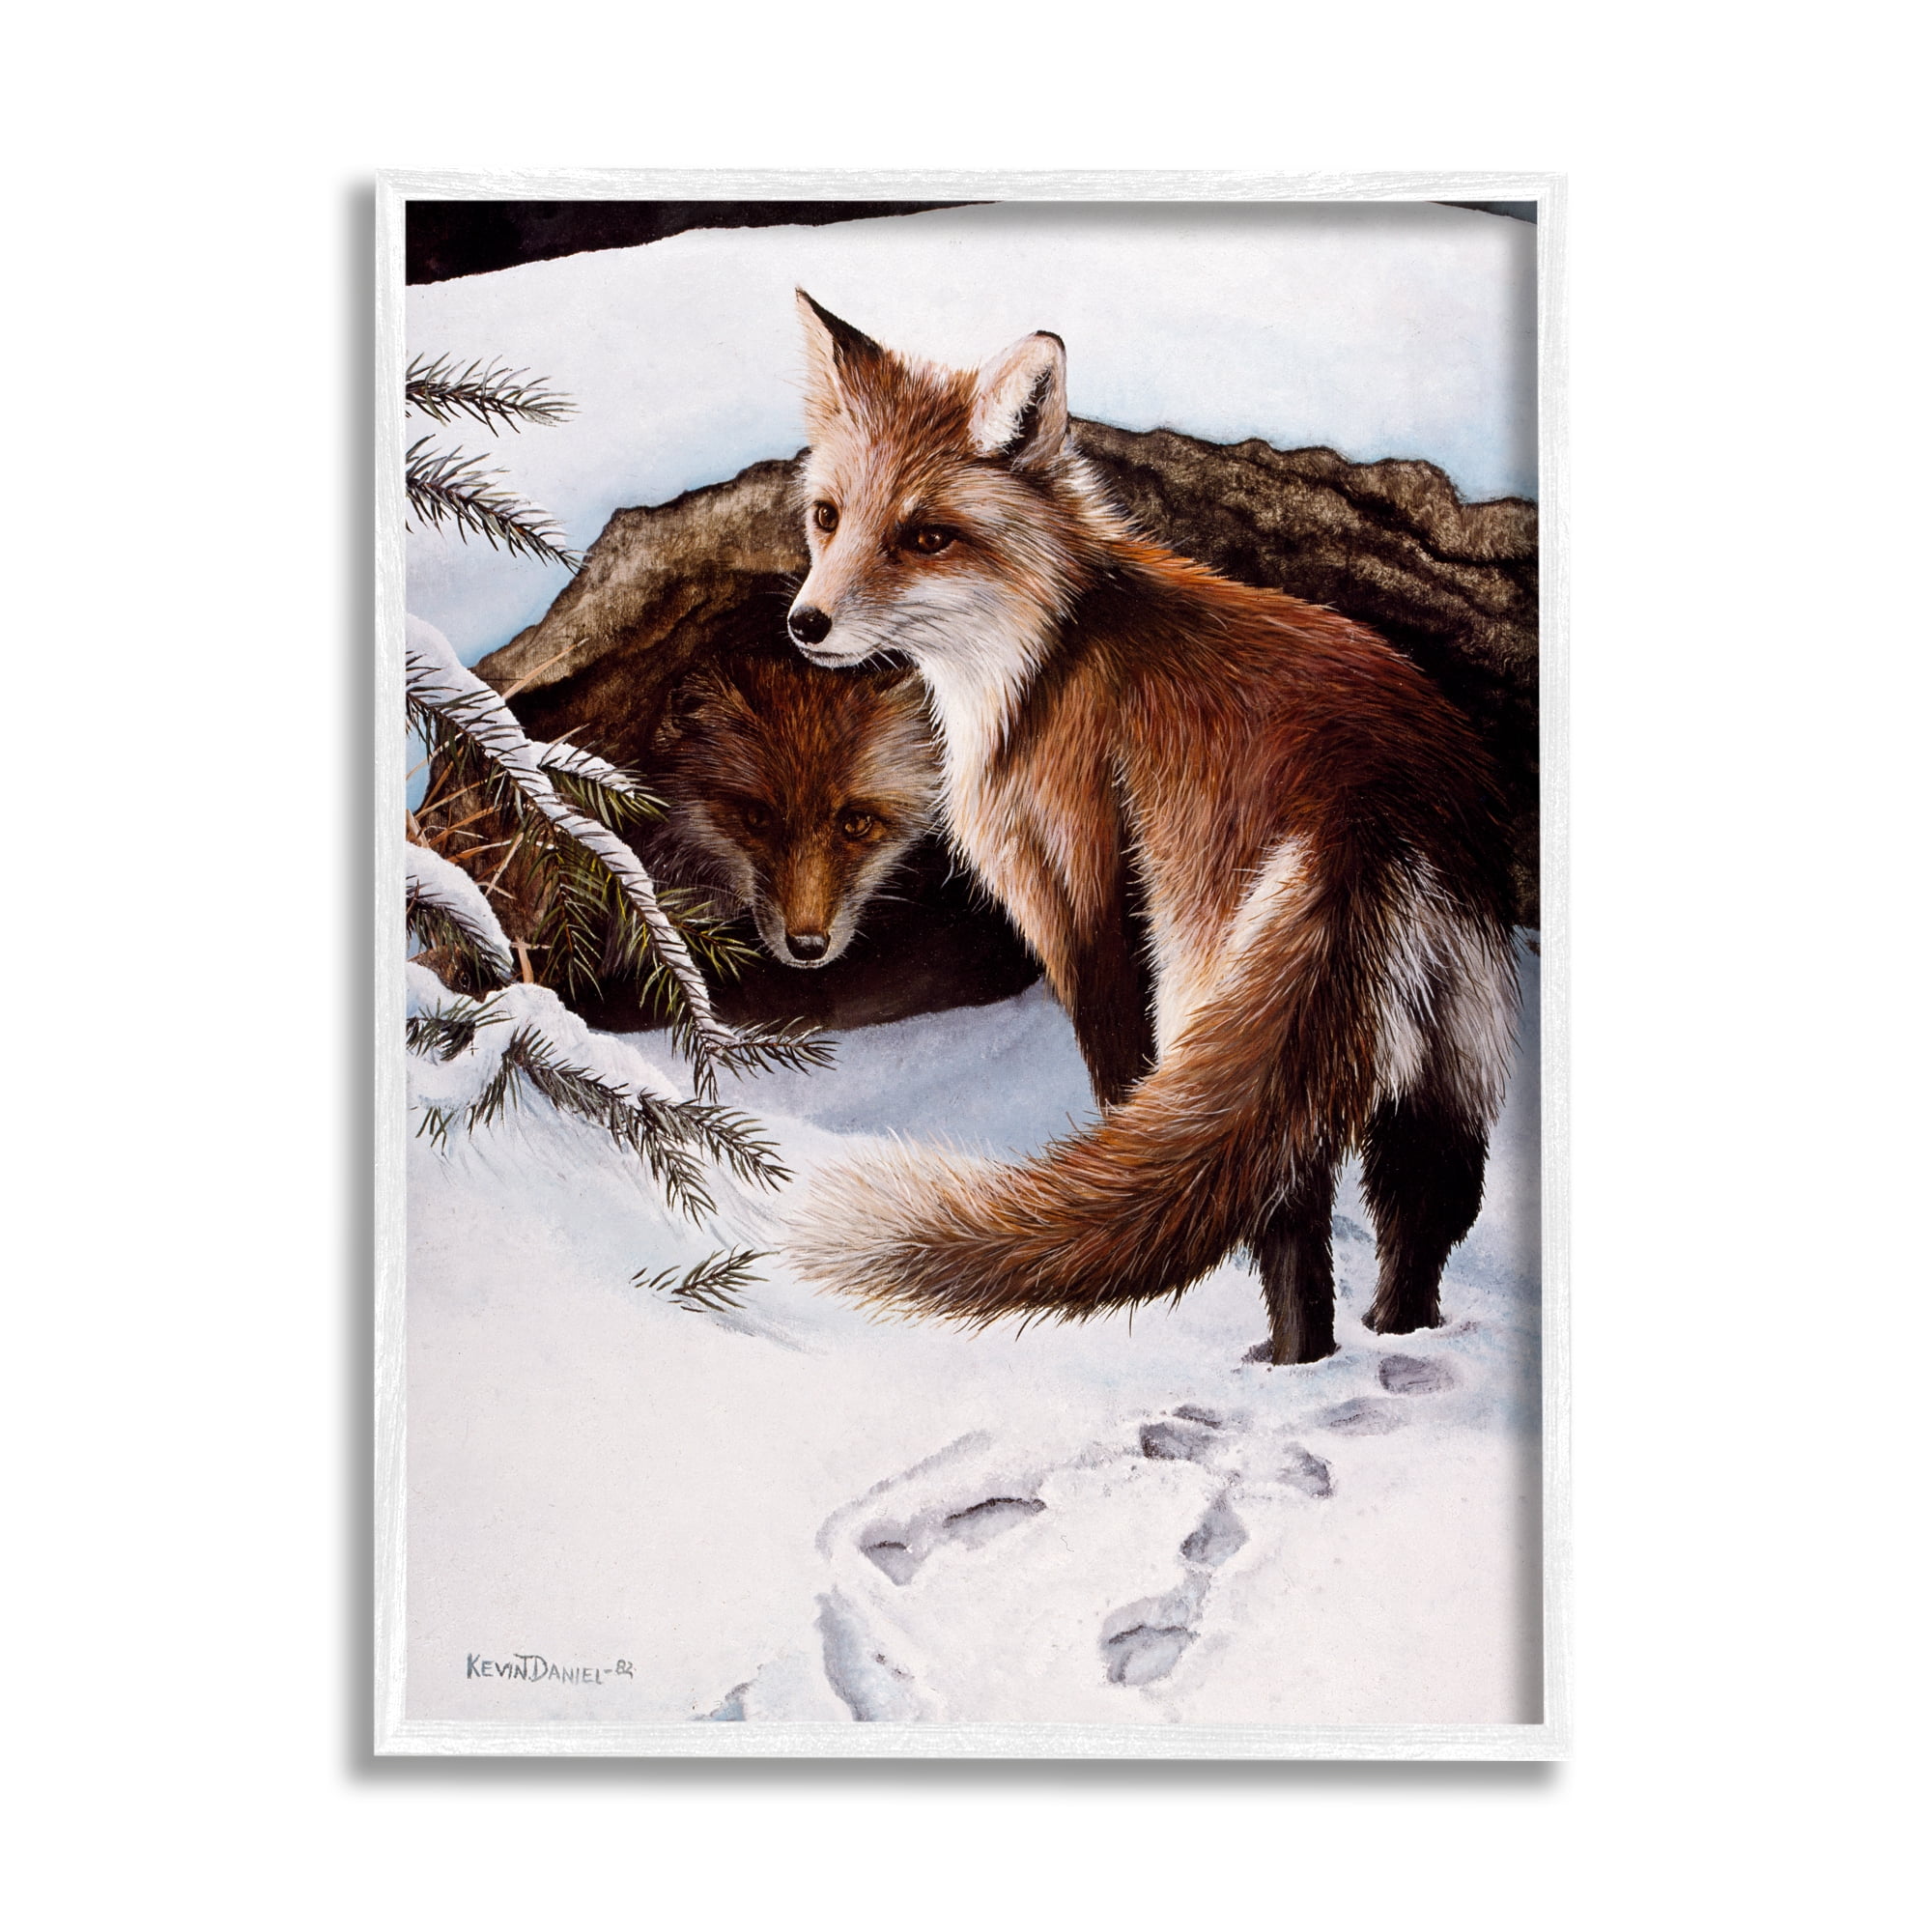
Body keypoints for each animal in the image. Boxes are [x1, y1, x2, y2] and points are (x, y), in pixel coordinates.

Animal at [780, 292, 1520, 1366]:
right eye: (828, 516)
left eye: (924, 537)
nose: (805, 624)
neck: (1045, 651)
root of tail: (1372, 798)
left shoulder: (1072, 891)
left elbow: (1117, 1082)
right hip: (1438, 1059)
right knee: (1419, 1210)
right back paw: (1384, 1342)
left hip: (1215, 991)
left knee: (1283, 1207)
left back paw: (1284, 1361)